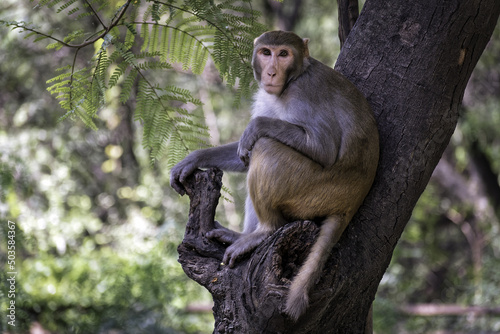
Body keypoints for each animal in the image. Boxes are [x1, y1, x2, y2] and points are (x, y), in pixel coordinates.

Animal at [170, 30, 376, 320]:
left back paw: (264, 231)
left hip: (313, 191)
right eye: (266, 52)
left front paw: (255, 127)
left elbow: (323, 148)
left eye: (284, 54)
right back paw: (241, 235)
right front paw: (193, 160)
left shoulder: (305, 93)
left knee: (266, 147)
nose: (271, 72)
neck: (295, 77)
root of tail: (351, 203)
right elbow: (243, 157)